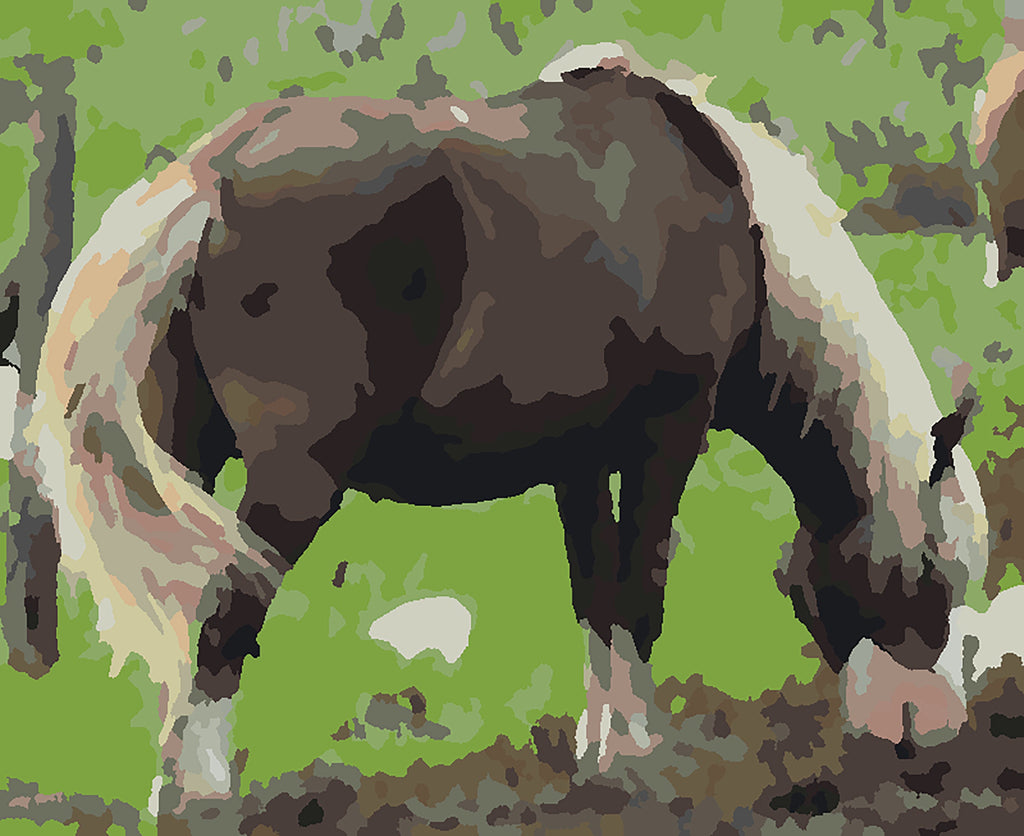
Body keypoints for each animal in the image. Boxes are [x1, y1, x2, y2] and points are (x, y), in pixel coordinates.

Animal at [14, 43, 988, 806]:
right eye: (937, 574)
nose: (935, 739)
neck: (720, 199)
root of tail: (209, 177)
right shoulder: (667, 437)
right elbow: (641, 589)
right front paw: (648, 763)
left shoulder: (580, 459)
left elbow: (597, 596)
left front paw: (603, 762)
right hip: (297, 480)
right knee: (226, 606)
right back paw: (208, 795)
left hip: (190, 463)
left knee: (187, 606)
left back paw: (172, 786)